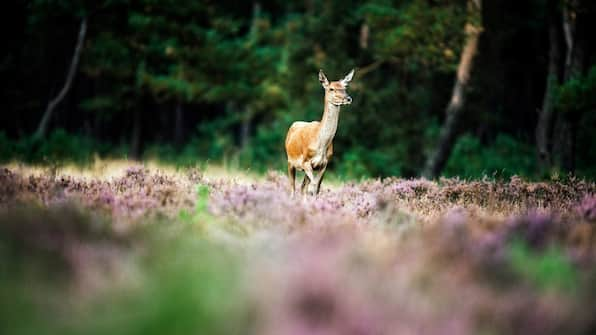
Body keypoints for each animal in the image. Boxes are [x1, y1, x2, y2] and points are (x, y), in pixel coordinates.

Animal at [286, 69, 354, 197]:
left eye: (345, 87)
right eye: (331, 88)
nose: (348, 98)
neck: (321, 144)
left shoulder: (324, 164)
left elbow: (316, 188)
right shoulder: (306, 161)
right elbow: (312, 186)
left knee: (302, 187)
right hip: (290, 161)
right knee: (292, 188)